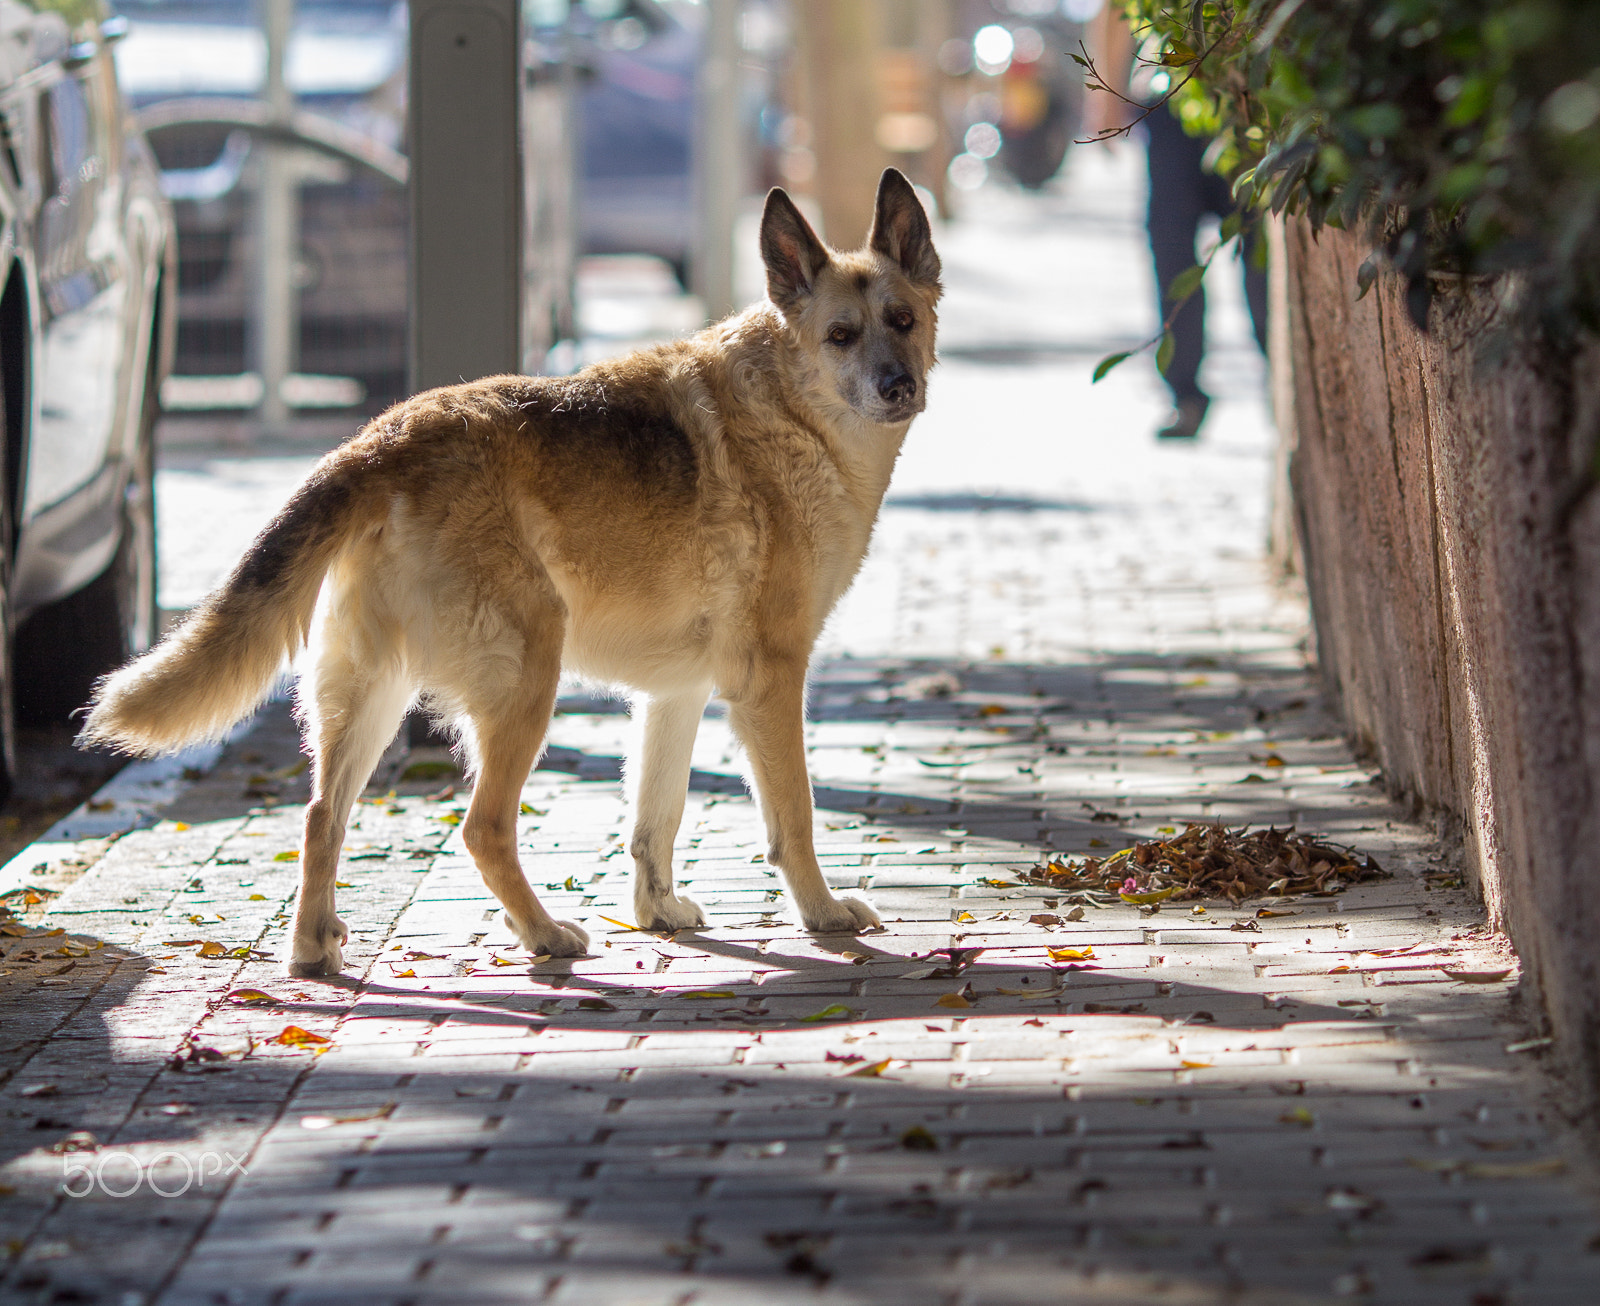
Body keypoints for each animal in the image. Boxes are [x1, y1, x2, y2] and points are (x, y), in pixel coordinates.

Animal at [78, 168, 934, 973]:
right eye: (840, 335)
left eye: (903, 320)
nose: (900, 386)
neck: (790, 410)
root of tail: (386, 441)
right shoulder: (770, 680)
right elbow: (795, 816)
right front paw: (821, 914)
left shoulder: (676, 696)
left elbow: (654, 821)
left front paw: (657, 914)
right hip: (525, 684)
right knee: (483, 828)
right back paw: (544, 935)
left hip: (372, 697)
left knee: (323, 817)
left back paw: (315, 948)